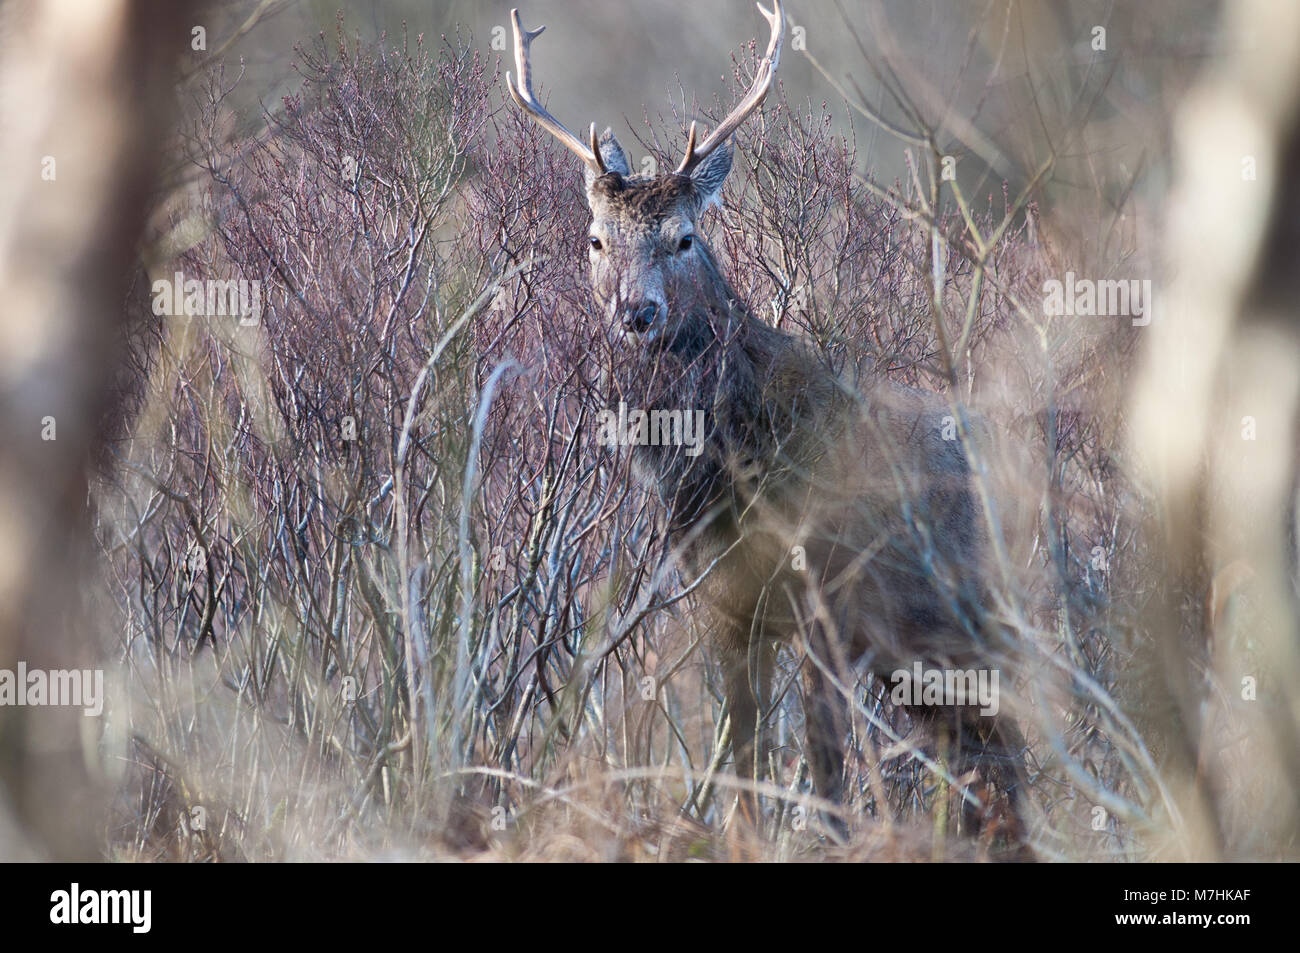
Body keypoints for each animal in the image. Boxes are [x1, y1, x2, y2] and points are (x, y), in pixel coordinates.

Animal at [501, 0, 1029, 847]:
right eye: (596, 238)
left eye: (683, 237)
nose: (636, 313)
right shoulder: (723, 603)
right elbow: (743, 760)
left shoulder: (827, 599)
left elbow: (826, 769)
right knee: (988, 766)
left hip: (980, 620)